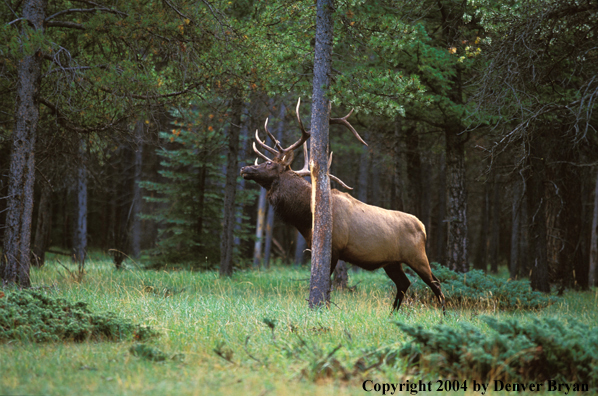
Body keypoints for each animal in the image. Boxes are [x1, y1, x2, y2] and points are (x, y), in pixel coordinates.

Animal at [241, 100, 448, 314]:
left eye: (269, 164)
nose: (245, 168)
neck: (306, 217)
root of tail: (423, 228)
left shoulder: (334, 247)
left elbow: (327, 284)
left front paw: (323, 306)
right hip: (392, 262)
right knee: (404, 283)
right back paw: (393, 313)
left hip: (417, 255)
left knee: (436, 283)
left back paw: (443, 315)